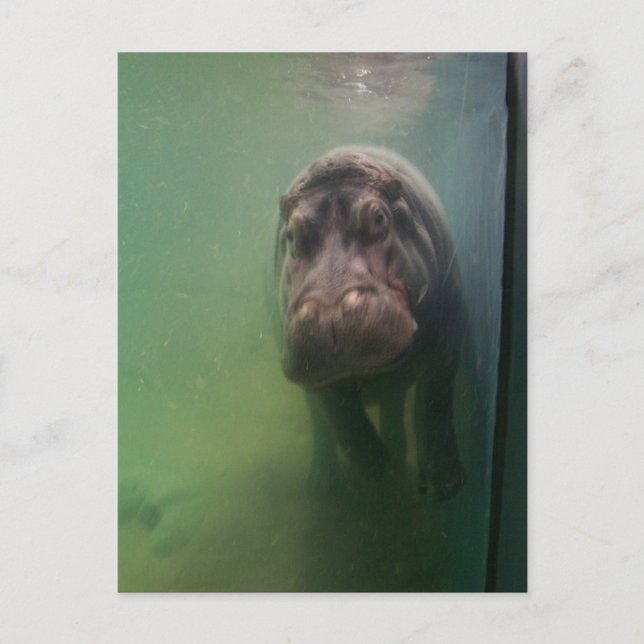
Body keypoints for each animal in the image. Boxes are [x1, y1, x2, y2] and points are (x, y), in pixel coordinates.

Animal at [274, 147, 465, 500]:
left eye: (379, 218)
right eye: (291, 237)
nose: (331, 314)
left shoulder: (449, 327)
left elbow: (435, 396)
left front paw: (444, 484)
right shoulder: (319, 376)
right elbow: (340, 413)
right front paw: (375, 467)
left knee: (394, 401)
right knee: (322, 425)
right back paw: (326, 481)